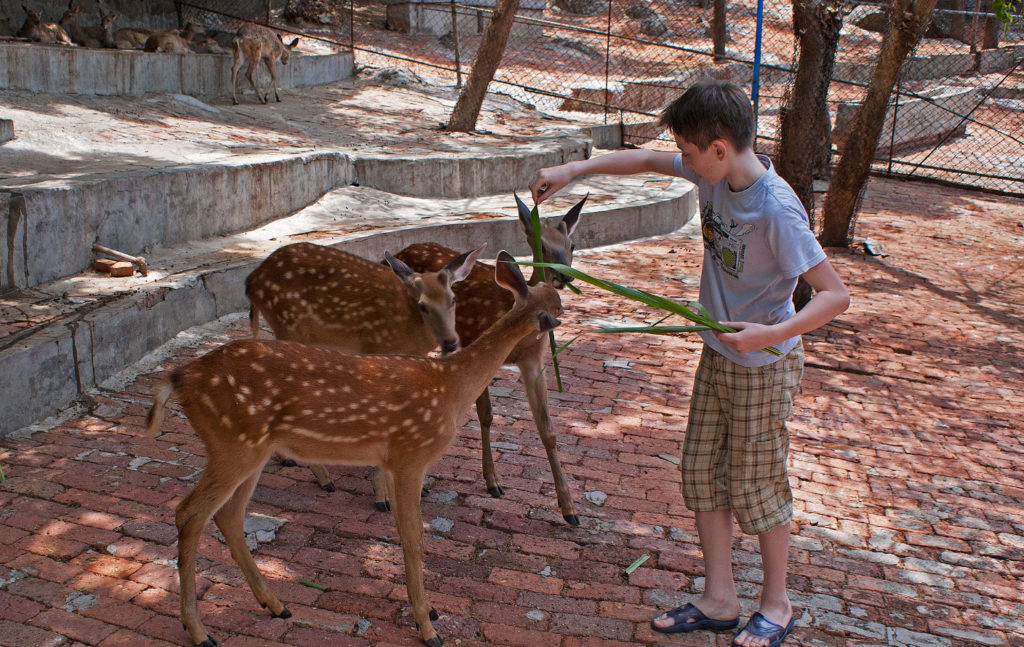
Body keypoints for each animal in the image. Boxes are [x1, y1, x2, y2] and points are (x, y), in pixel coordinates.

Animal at [244, 242, 483, 495]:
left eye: (454, 299)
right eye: (423, 305)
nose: (451, 343)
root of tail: (252, 281)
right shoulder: (377, 346)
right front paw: (382, 495)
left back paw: (286, 458)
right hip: (288, 324)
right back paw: (324, 478)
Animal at [391, 194, 589, 524]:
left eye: (572, 245)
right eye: (540, 245)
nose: (562, 276)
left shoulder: (533, 360)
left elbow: (547, 429)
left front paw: (569, 509)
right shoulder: (477, 341)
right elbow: (486, 414)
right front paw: (493, 481)